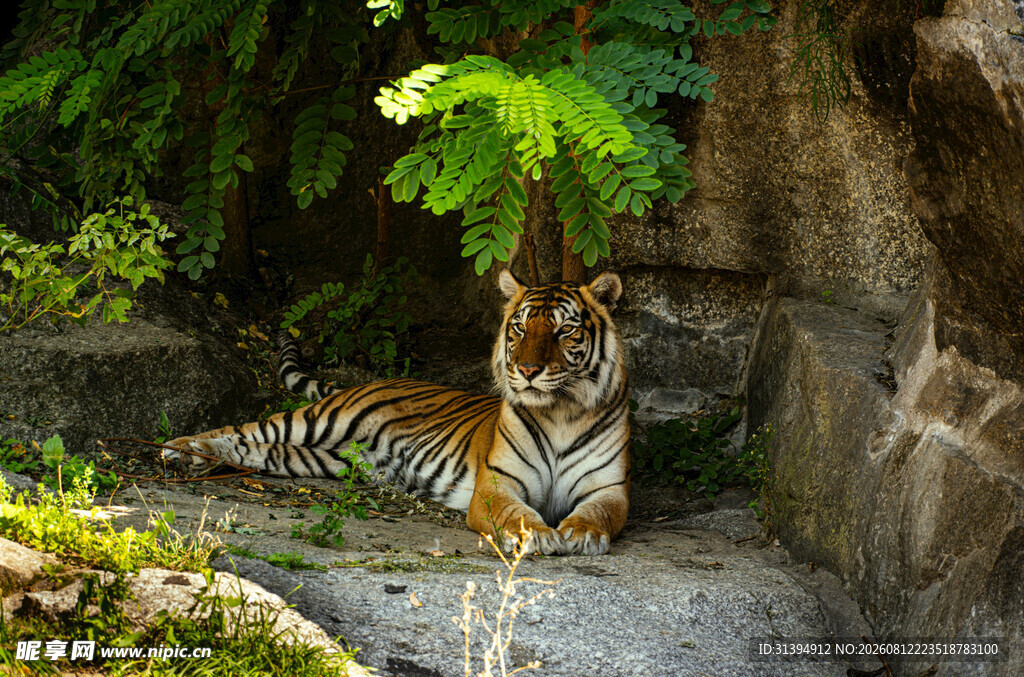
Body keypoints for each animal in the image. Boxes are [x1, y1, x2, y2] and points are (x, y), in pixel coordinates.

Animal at [165, 269, 630, 555]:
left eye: (564, 330)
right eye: (519, 327)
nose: (528, 370)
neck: (560, 412)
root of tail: (375, 380)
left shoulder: (609, 489)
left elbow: (598, 513)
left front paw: (580, 534)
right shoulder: (496, 485)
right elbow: (516, 514)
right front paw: (540, 535)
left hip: (326, 460)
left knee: (258, 451)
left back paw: (201, 459)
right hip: (319, 420)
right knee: (247, 427)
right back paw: (180, 448)